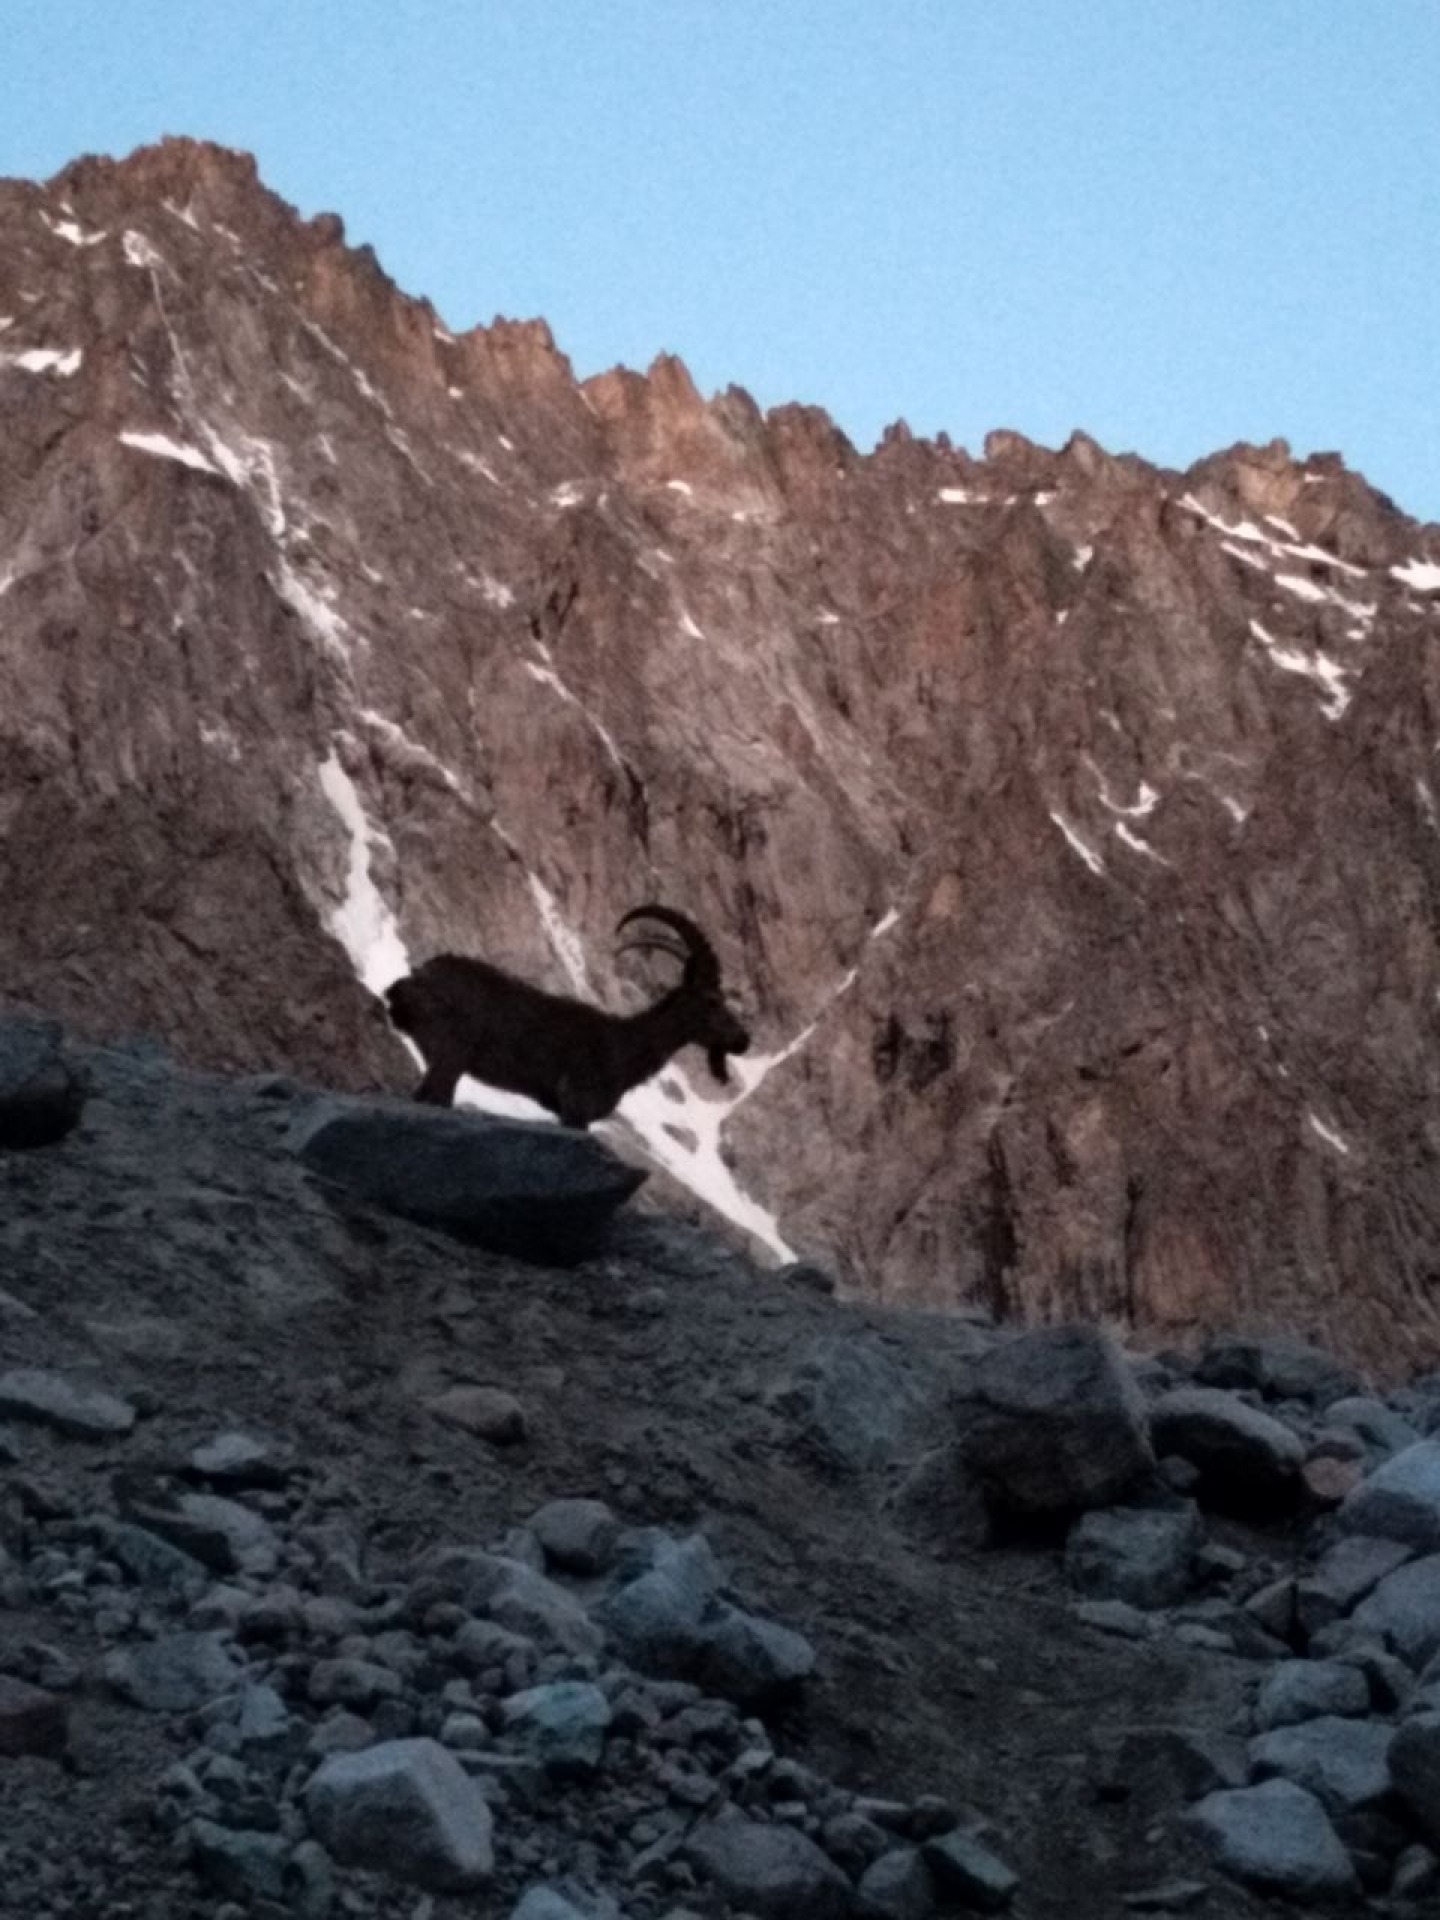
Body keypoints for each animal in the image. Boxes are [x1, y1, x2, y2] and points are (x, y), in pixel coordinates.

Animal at [383, 905, 751, 1128]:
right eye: (712, 1001)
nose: (743, 1040)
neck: (625, 1047)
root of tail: (413, 979)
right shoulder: (577, 1107)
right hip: (451, 1055)